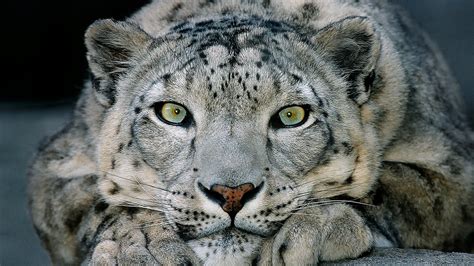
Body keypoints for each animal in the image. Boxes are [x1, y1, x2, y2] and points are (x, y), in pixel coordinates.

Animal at [27, 0, 472, 264]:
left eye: (292, 115)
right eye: (172, 112)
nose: (231, 193)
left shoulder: (452, 169)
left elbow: (383, 187)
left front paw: (311, 230)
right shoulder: (57, 165)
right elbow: (100, 200)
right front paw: (139, 245)